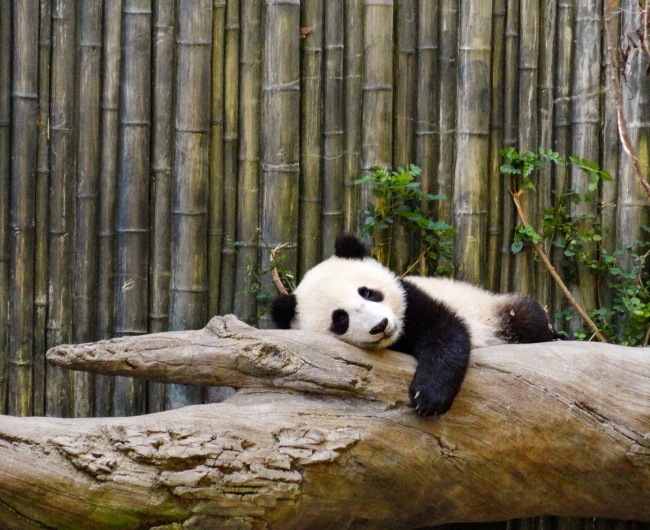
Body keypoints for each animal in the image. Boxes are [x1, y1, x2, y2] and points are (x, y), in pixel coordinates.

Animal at [271, 234, 560, 417]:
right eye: (340, 318)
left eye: (367, 292)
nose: (381, 325)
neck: (398, 337)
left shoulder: (413, 299)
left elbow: (446, 333)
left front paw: (429, 398)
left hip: (493, 309)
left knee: (526, 316)